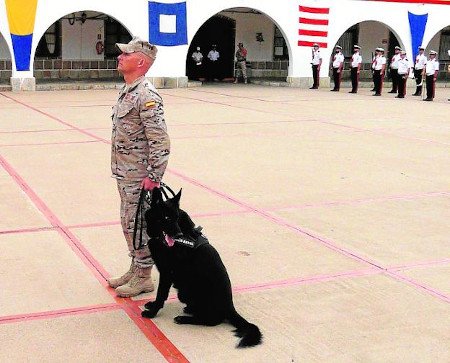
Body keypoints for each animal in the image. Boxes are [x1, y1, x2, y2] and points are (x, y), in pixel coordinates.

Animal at [141, 189, 260, 348]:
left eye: (176, 218)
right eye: (166, 217)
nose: (178, 234)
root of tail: (230, 308)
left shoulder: (166, 272)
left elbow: (161, 295)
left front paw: (152, 313)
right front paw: (152, 305)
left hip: (189, 292)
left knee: (212, 321)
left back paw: (183, 318)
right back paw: (189, 310)